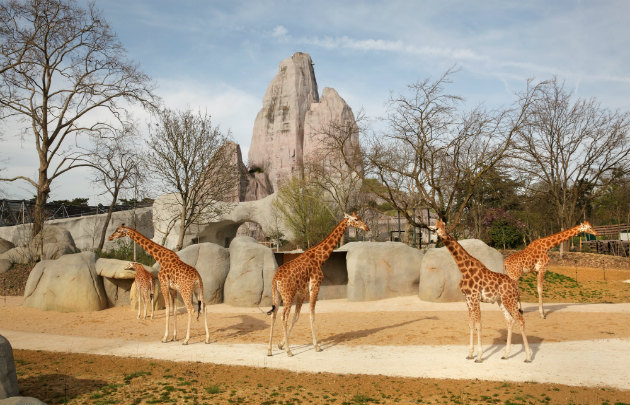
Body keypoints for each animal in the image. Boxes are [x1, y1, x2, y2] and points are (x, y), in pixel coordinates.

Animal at [266, 213, 370, 356]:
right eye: (356, 219)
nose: (367, 228)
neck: (319, 258)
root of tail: (275, 279)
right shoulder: (315, 287)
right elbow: (312, 315)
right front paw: (317, 346)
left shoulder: (302, 293)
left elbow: (297, 317)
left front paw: (280, 344)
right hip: (288, 296)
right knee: (283, 316)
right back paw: (289, 351)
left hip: (276, 295)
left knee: (274, 315)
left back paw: (270, 350)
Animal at [434, 219, 532, 362]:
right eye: (435, 228)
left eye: (444, 226)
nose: (443, 235)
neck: (463, 269)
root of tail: (515, 286)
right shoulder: (468, 299)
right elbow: (471, 324)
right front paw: (470, 354)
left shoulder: (475, 298)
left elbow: (479, 325)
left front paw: (479, 357)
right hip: (501, 301)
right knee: (510, 320)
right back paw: (505, 355)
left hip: (510, 300)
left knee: (520, 320)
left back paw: (528, 357)